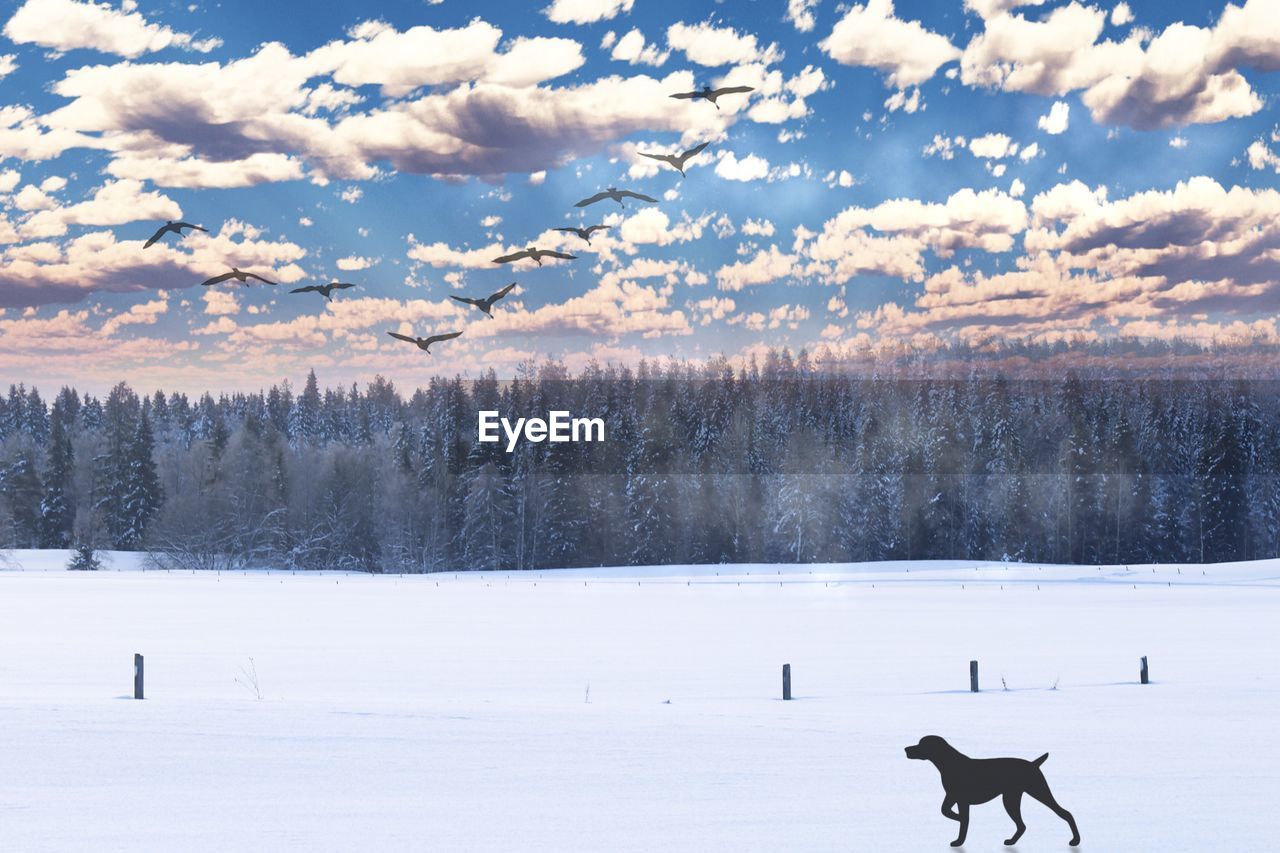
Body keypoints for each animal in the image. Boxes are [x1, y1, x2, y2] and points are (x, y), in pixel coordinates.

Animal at [906, 732, 1075, 845]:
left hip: (1038, 791)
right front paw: (958, 821)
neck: (949, 763)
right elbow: (945, 810)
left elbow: (963, 821)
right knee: (1022, 825)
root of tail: (1033, 763)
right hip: (1011, 799)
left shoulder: (962, 801)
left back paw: (1075, 841)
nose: (906, 749)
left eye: (922, 744)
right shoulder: (952, 797)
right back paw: (1012, 841)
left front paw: (959, 840)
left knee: (1065, 813)